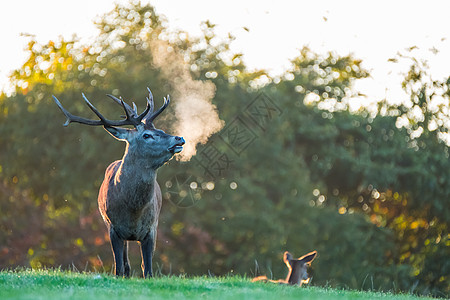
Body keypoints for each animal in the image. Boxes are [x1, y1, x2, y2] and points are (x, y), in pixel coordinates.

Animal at [53, 88, 185, 278]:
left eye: (161, 129)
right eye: (147, 135)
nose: (179, 138)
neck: (133, 210)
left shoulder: (152, 228)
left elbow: (148, 269)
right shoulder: (113, 228)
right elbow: (119, 267)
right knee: (125, 264)